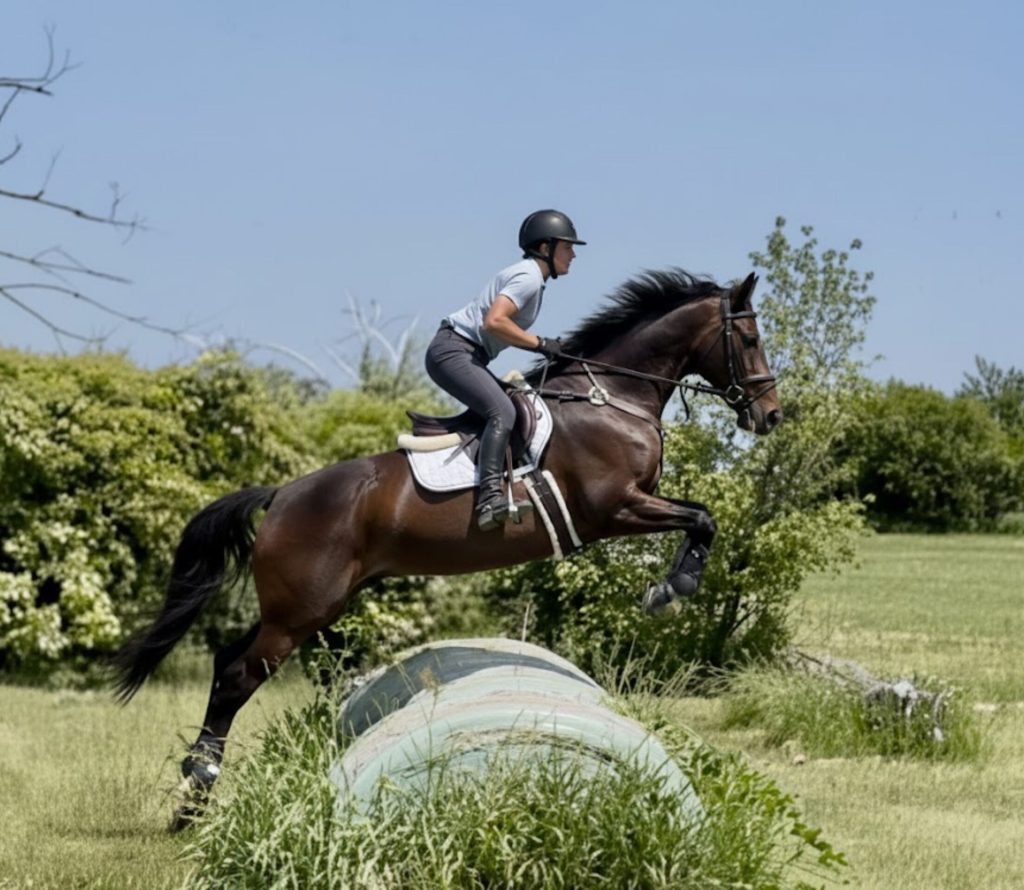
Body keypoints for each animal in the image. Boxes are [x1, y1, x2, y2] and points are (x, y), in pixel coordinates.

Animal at [113, 267, 781, 822]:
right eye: (749, 338)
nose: (771, 415)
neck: (612, 397)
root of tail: (281, 495)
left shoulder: (628, 506)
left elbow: (701, 517)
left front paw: (673, 585)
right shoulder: (613, 507)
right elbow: (702, 520)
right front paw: (673, 588)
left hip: (304, 606)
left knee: (228, 663)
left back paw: (195, 787)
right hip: (302, 609)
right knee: (236, 678)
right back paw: (195, 797)